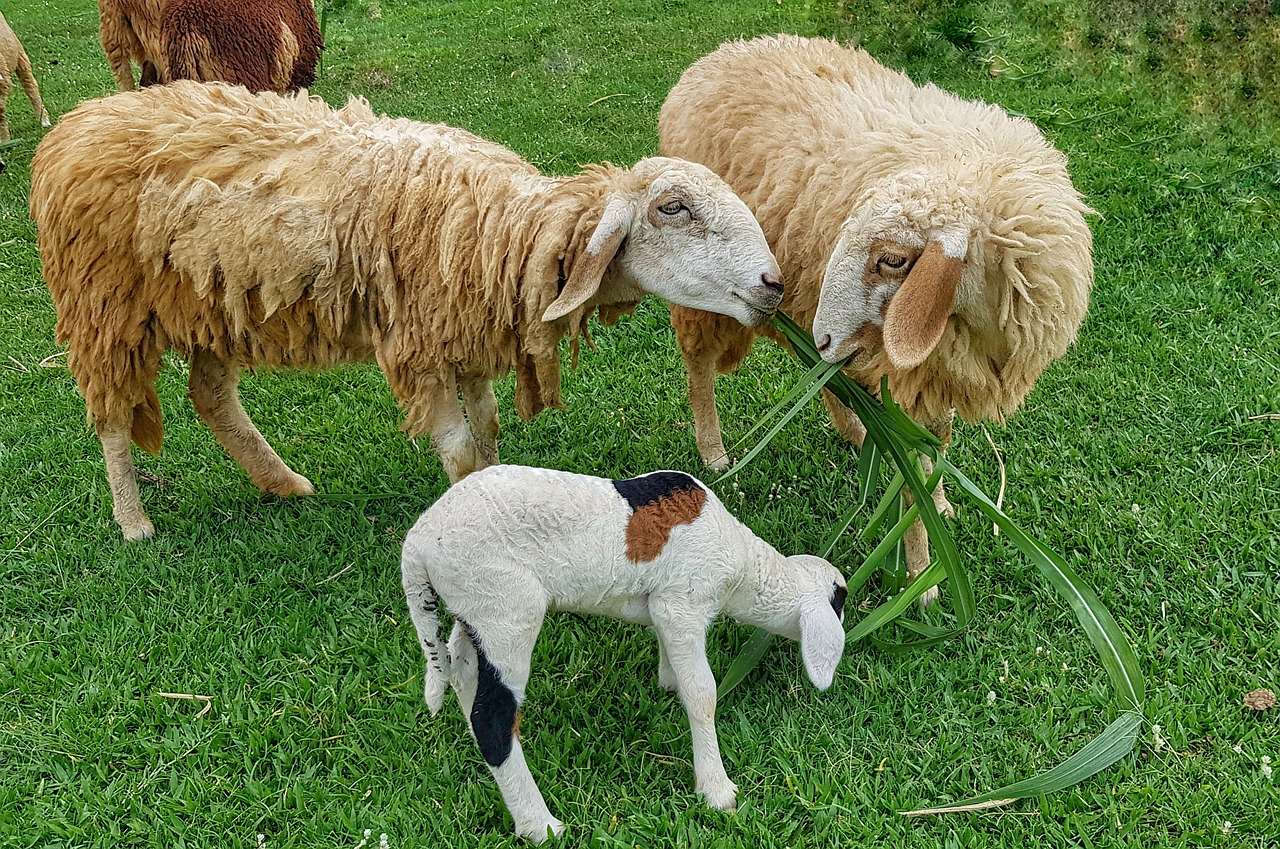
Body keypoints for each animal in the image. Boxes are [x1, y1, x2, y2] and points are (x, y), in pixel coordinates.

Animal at [30, 83, 783, 540]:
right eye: (673, 209)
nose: (774, 283)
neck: (508, 231)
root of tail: (73, 126)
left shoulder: (468, 335)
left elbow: (489, 425)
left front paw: (496, 490)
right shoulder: (419, 346)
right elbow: (458, 448)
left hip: (213, 300)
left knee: (210, 395)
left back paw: (283, 483)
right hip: (104, 305)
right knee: (113, 417)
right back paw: (134, 520)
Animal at [399, 466, 849, 845]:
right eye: (840, 600)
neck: (743, 565)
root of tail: (416, 546)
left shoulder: (663, 608)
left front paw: (667, 683)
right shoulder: (683, 603)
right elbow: (702, 694)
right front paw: (717, 791)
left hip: (473, 609)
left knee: (462, 673)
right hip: (506, 608)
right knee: (493, 719)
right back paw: (540, 826)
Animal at [665, 34, 1095, 604]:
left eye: (891, 259)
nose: (827, 334)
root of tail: (712, 59)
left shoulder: (937, 369)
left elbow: (935, 445)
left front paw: (940, 504)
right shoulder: (909, 373)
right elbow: (912, 469)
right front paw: (922, 578)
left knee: (820, 370)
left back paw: (853, 428)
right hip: (710, 285)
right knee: (700, 365)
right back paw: (714, 453)